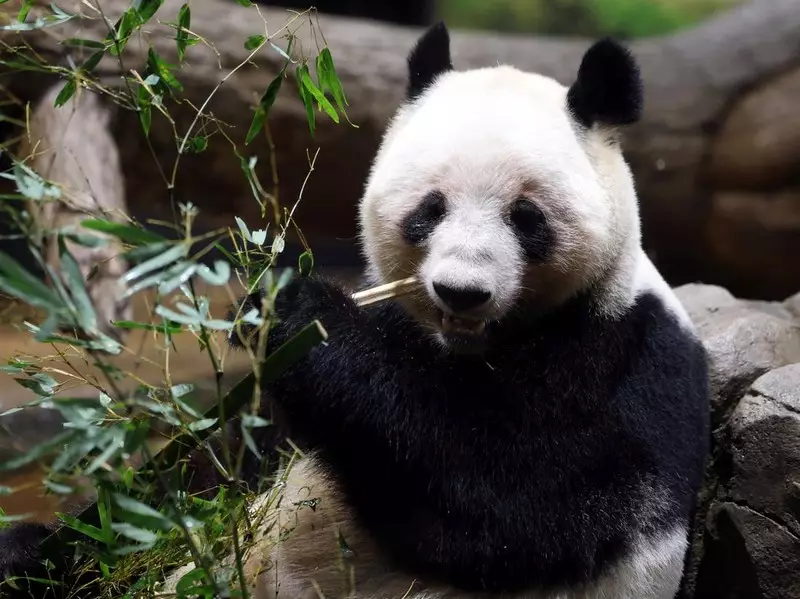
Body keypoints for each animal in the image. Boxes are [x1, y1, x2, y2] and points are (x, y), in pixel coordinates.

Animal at [1, 22, 710, 599]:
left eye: (526, 218)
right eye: (430, 209)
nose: (461, 292)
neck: (468, 347)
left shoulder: (613, 358)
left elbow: (505, 500)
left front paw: (300, 310)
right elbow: (206, 466)